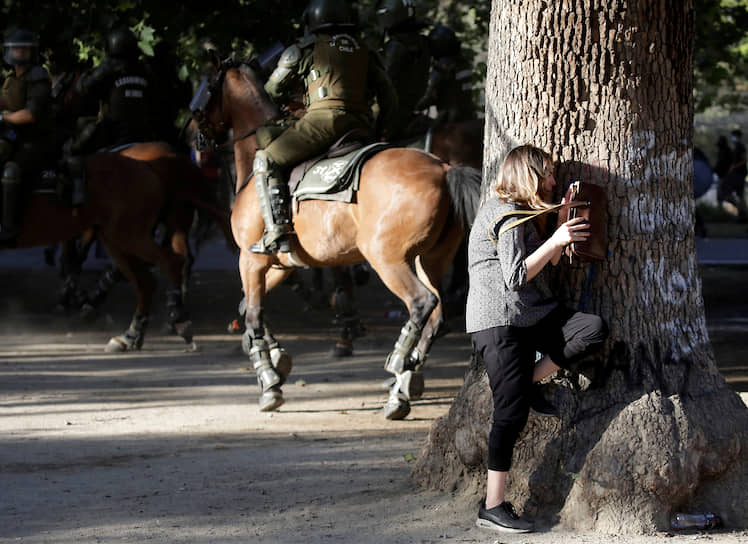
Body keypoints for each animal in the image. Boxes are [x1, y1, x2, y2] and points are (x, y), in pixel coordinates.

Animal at [0, 151, 207, 350]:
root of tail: (147, 166)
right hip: (114, 240)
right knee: (146, 282)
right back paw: (130, 335)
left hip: (130, 236)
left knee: (172, 262)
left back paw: (178, 319)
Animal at [190, 57, 482, 418]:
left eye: (206, 86)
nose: (196, 138)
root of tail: (444, 168)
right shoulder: (280, 265)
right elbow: (246, 308)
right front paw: (274, 356)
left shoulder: (251, 258)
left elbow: (254, 313)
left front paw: (269, 381)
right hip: (429, 260)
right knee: (439, 315)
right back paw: (403, 384)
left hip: (386, 259)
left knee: (421, 303)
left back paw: (398, 372)